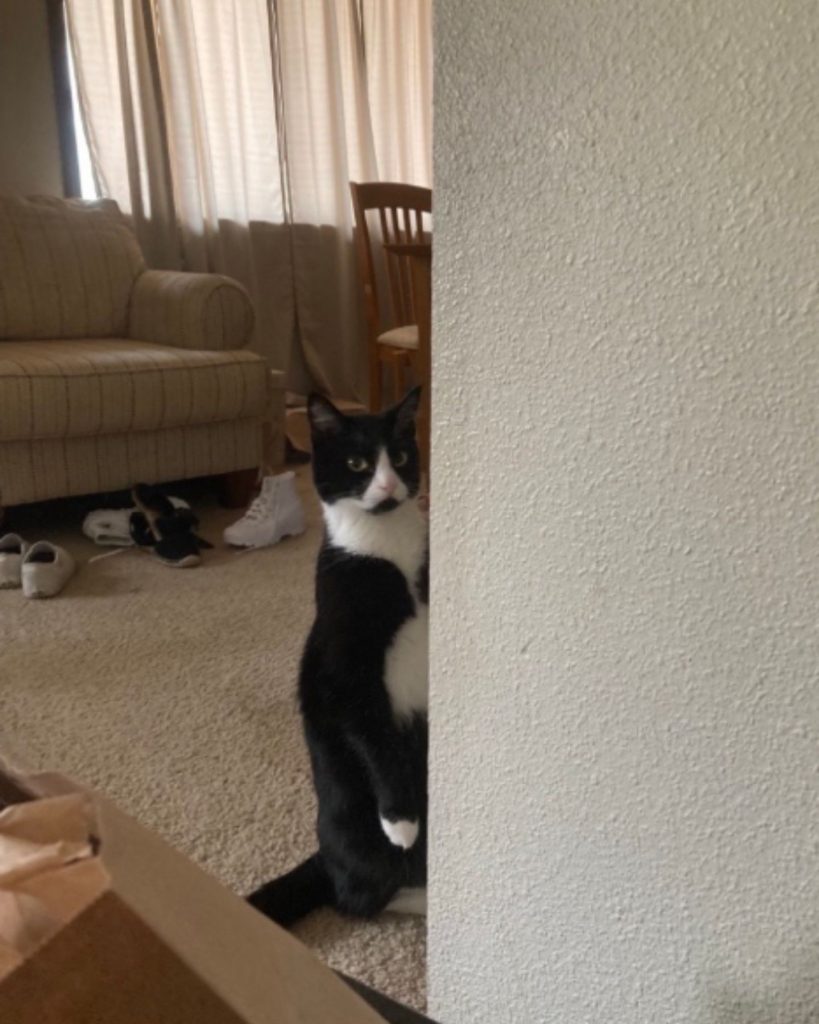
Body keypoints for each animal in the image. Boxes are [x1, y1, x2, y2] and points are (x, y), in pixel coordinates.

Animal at [247, 387, 427, 925]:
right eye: (357, 463)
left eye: (401, 456)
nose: (388, 483)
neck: (389, 550)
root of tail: (323, 858)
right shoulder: (344, 670)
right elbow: (372, 734)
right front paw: (401, 819)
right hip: (353, 831)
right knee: (357, 897)